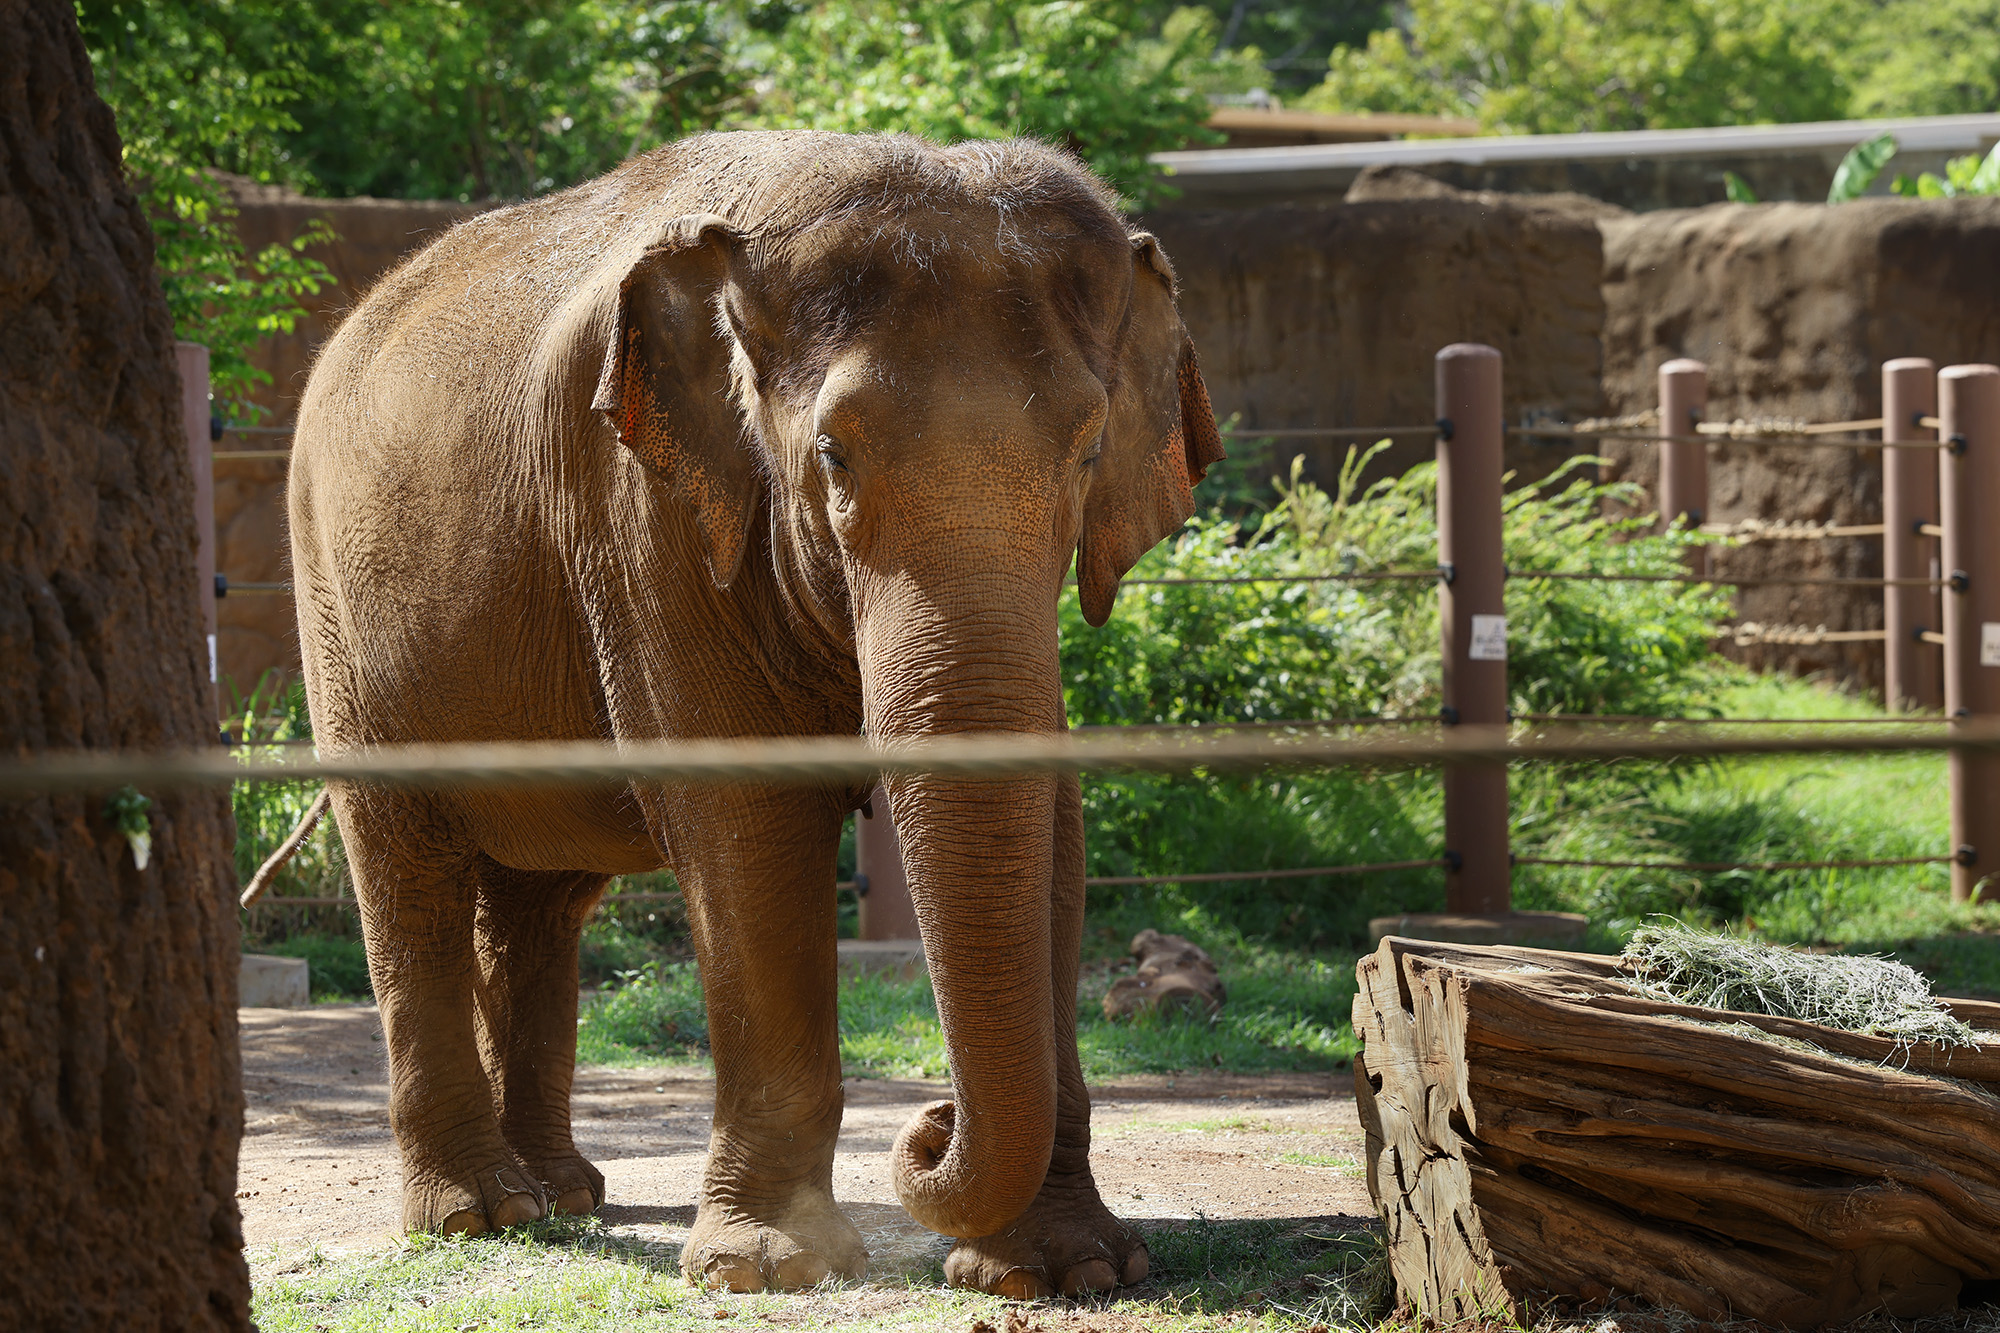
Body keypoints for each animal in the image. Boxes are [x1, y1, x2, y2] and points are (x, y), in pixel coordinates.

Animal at [287, 130, 1224, 1297]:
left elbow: (1053, 823)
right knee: (406, 864)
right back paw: (478, 1214)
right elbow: (748, 818)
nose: (928, 1121)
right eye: (831, 456)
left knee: (537, 899)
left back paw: (561, 1195)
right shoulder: (647, 513)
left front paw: (1070, 1269)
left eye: (1090, 453)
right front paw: (768, 1266)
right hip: (334, 603)